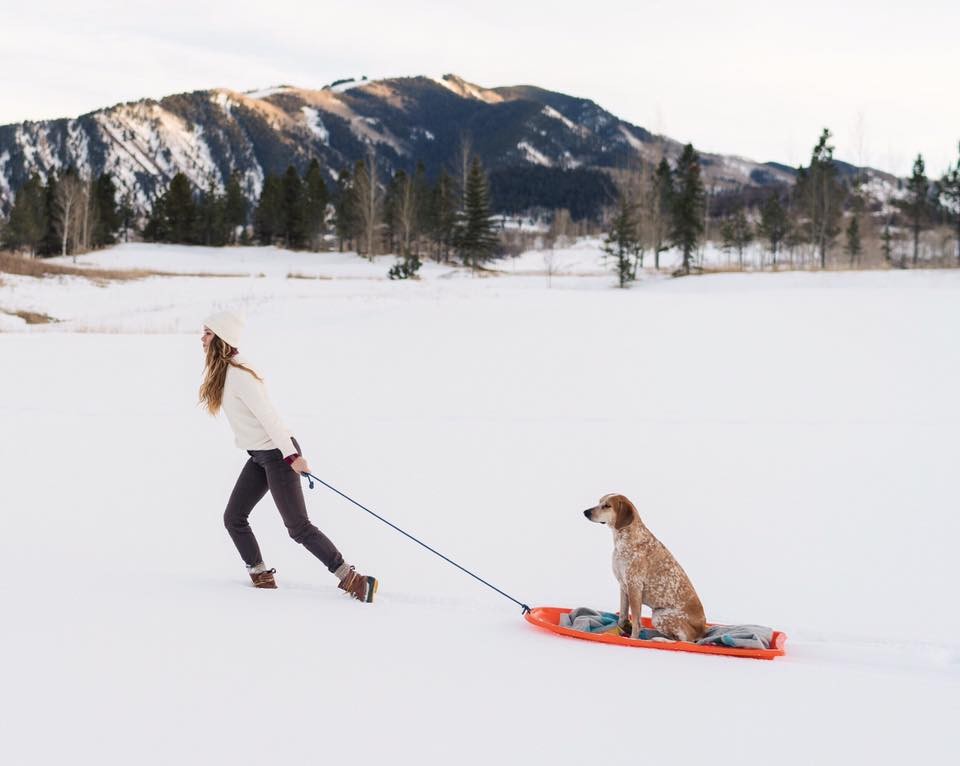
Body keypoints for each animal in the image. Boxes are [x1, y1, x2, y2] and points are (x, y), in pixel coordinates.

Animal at [580, 492, 708, 640]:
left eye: (607, 506)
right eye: (599, 501)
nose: (586, 512)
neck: (623, 540)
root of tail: (703, 630)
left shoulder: (634, 586)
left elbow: (636, 621)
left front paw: (633, 639)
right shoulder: (623, 586)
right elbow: (623, 615)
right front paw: (622, 630)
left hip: (660, 616)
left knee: (686, 641)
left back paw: (658, 639)